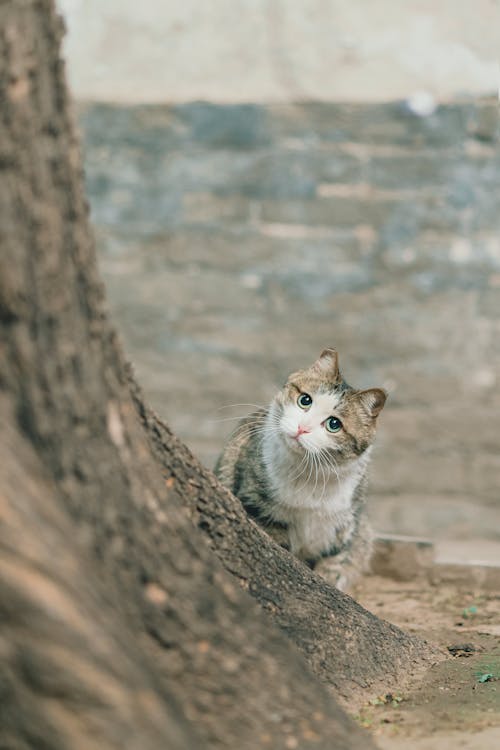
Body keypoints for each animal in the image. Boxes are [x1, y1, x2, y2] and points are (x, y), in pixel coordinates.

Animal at [215, 352, 386, 592]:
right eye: (305, 400)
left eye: (334, 424)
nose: (302, 428)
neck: (310, 473)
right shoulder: (259, 508)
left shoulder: (342, 529)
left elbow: (332, 567)